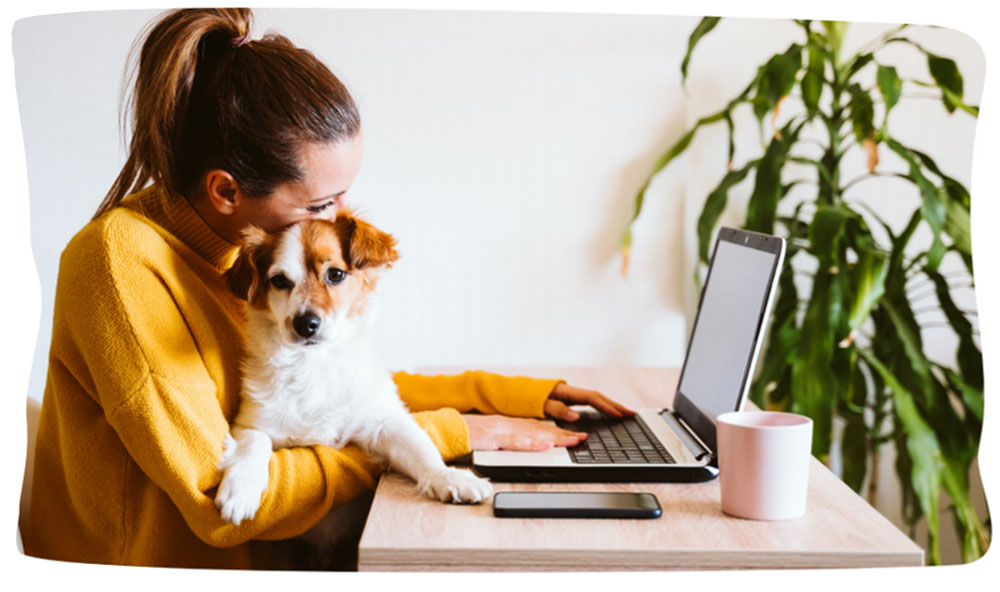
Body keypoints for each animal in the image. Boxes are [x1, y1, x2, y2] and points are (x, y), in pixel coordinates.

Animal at [215, 213, 492, 528]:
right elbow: (254, 443)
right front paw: (241, 489)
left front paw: (450, 477)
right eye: (279, 280)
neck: (315, 364)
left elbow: (422, 449)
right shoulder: (250, 423)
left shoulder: (384, 423)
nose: (306, 324)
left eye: (335, 274)